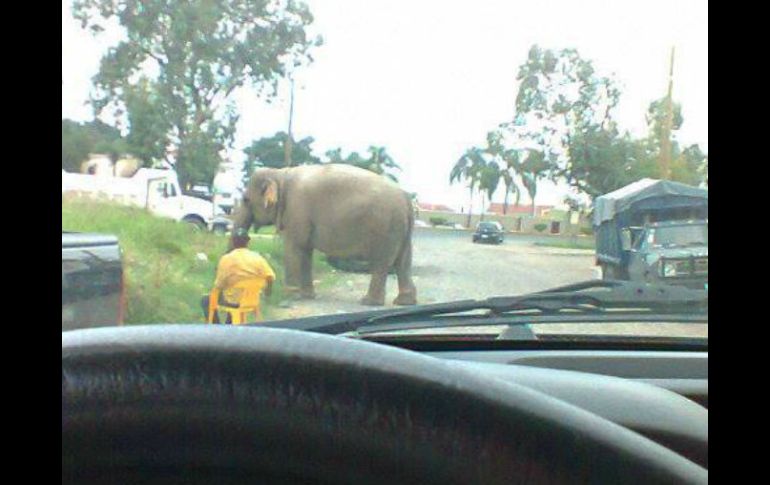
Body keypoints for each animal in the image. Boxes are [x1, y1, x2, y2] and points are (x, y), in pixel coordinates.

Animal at [231, 164, 416, 306]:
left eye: (245, 200)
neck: (280, 173)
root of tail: (406, 199)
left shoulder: (296, 210)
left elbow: (293, 248)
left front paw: (288, 297)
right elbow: (305, 251)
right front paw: (307, 296)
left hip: (385, 228)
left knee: (381, 263)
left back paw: (369, 302)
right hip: (401, 229)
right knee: (403, 262)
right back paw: (404, 302)